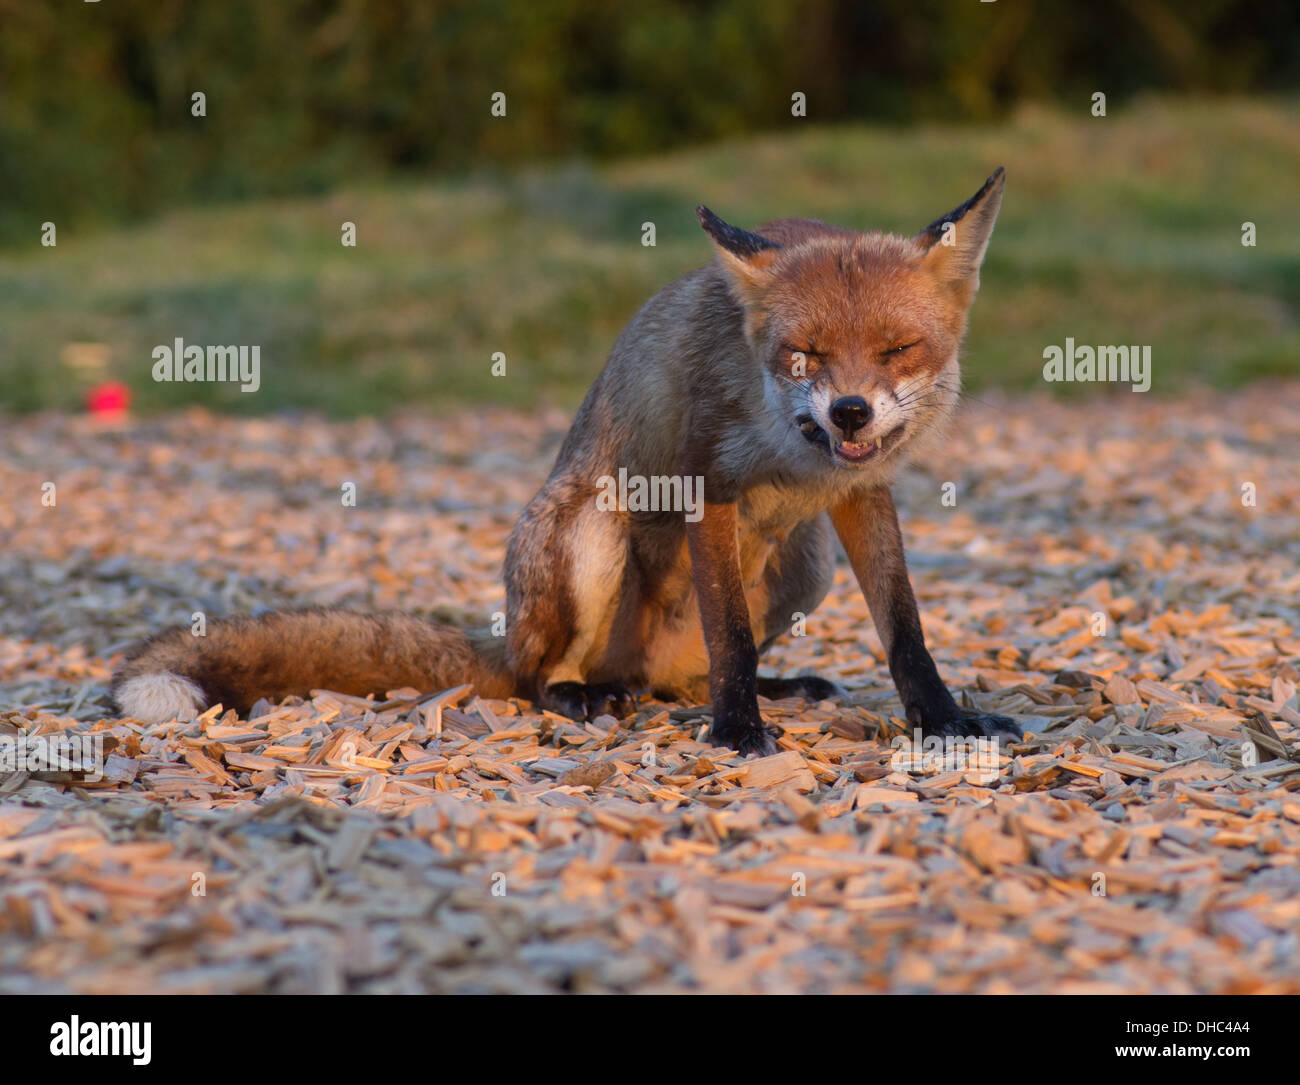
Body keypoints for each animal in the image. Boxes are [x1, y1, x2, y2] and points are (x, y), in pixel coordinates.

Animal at [111, 171, 1019, 764]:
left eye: (899, 350)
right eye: (806, 355)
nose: (851, 412)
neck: (794, 452)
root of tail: (509, 637)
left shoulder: (862, 493)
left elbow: (904, 629)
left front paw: (943, 720)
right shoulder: (705, 482)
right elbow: (730, 633)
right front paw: (736, 729)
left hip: (807, 565)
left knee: (681, 678)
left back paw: (769, 686)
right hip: (589, 536)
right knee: (539, 678)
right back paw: (586, 695)